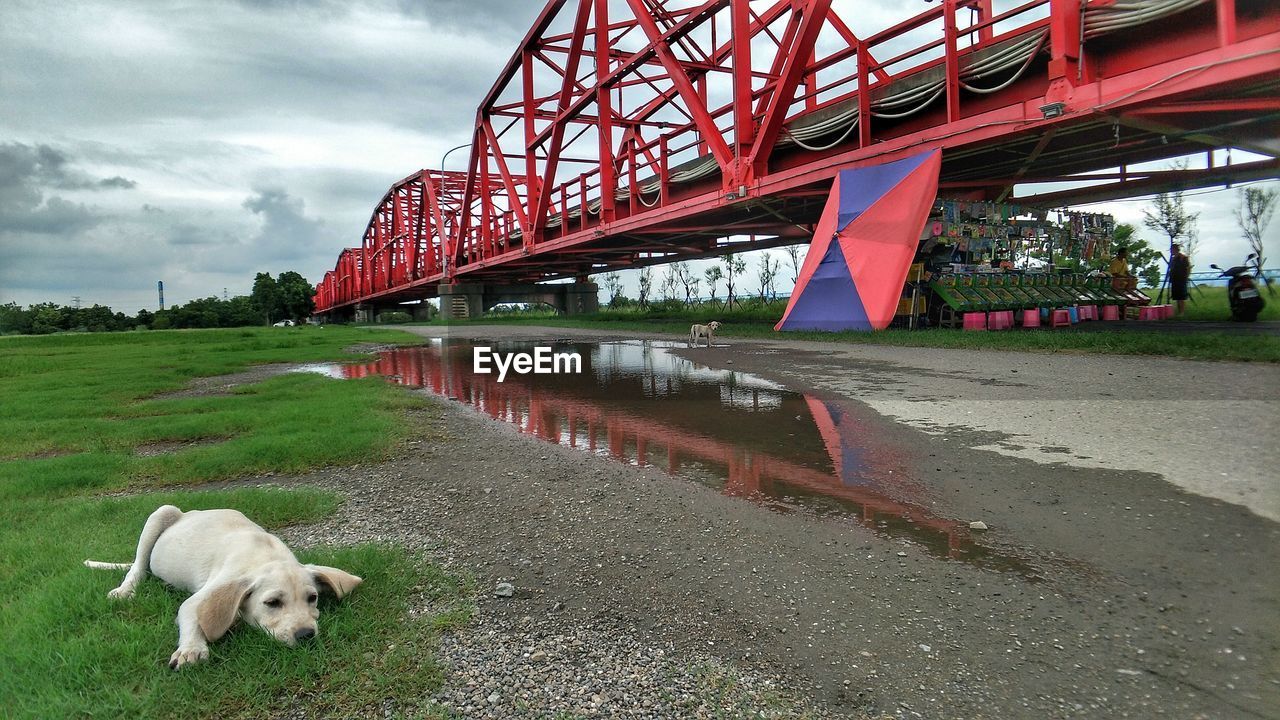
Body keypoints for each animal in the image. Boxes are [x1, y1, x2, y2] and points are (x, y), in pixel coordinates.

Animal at [85, 504, 363, 666]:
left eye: (312, 599)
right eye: (272, 603)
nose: (306, 635)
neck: (267, 557)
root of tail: (189, 513)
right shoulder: (199, 598)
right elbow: (192, 615)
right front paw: (191, 648)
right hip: (161, 513)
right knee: (138, 567)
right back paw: (125, 589)